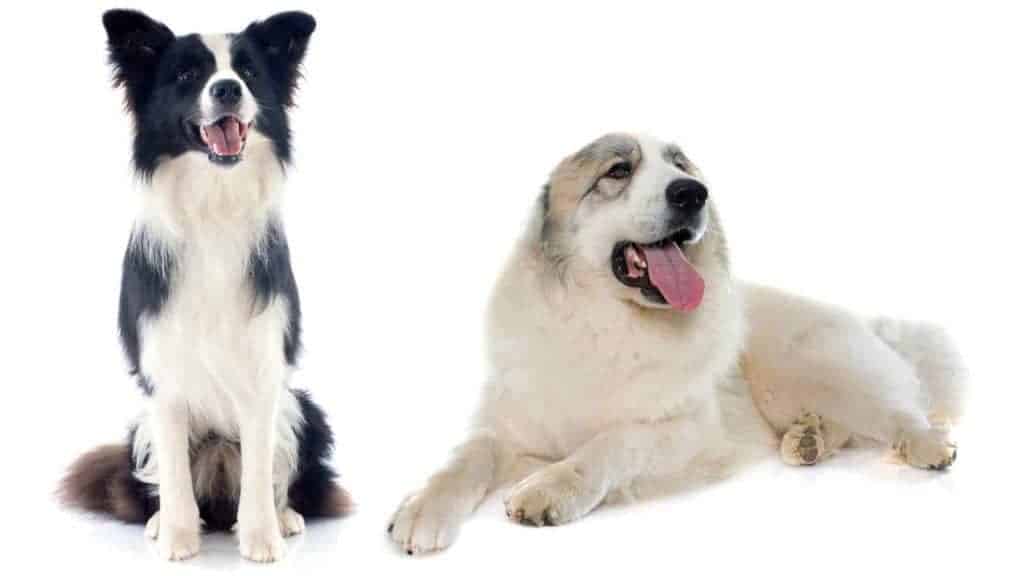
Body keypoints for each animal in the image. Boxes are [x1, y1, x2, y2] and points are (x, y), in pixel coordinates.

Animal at [59, 8, 348, 561]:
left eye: (249, 72)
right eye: (188, 75)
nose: (228, 89)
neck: (215, 200)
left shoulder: (263, 367)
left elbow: (258, 469)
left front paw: (261, 540)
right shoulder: (162, 373)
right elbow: (172, 471)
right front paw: (177, 539)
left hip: (301, 407)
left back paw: (285, 517)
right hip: (140, 424)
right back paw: (161, 522)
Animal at [387, 133, 962, 553]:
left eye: (680, 164)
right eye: (619, 171)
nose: (692, 192)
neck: (606, 320)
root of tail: (868, 323)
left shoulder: (688, 432)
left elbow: (610, 443)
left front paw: (548, 488)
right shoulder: (505, 426)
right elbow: (465, 459)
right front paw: (422, 507)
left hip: (817, 367)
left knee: (900, 411)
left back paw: (928, 446)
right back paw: (807, 441)